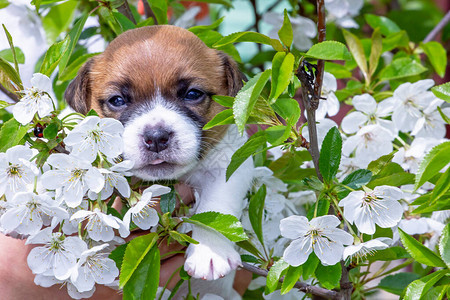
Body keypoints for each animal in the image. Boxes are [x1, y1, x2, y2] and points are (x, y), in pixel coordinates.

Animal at [64, 24, 253, 296]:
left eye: (192, 94)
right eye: (117, 100)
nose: (155, 137)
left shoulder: (230, 162)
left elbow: (217, 205)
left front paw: (210, 250)